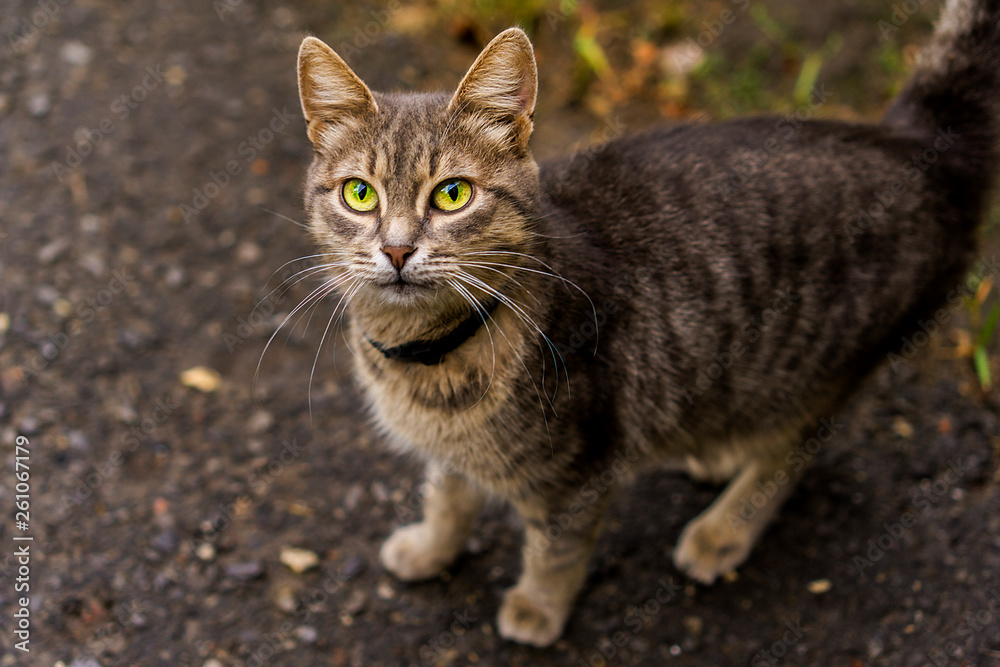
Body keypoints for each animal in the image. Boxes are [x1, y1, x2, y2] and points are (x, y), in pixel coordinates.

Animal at [292, 0, 996, 648]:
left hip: (828, 364)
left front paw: (537, 610)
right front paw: (432, 548)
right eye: (360, 194)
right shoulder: (452, 455)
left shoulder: (576, 471)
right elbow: (446, 494)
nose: (397, 249)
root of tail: (919, 145)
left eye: (452, 194)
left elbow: (555, 550)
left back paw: (722, 530)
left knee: (794, 449)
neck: (427, 356)